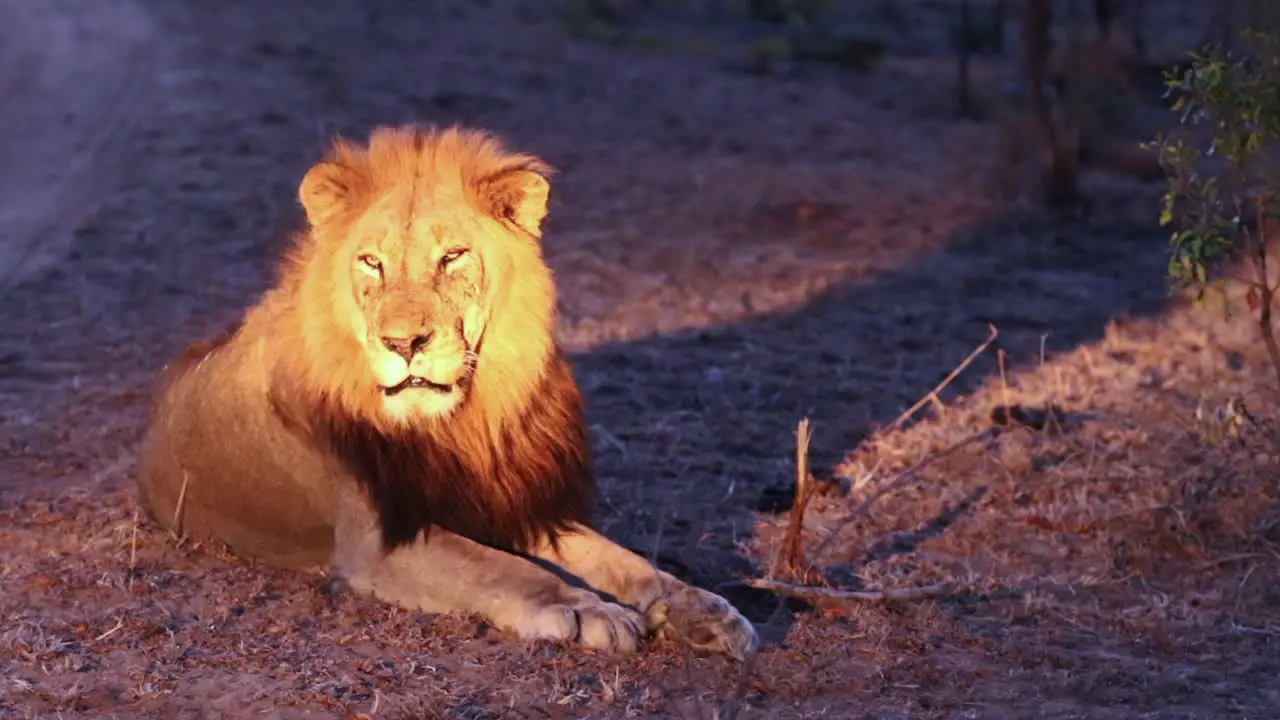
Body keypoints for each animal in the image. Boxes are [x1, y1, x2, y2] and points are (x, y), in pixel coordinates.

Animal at [135, 121, 757, 655]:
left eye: (453, 256)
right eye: (371, 262)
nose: (404, 343)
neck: (457, 422)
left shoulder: (504, 505)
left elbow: (620, 559)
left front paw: (702, 609)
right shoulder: (375, 541)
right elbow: (499, 568)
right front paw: (590, 611)